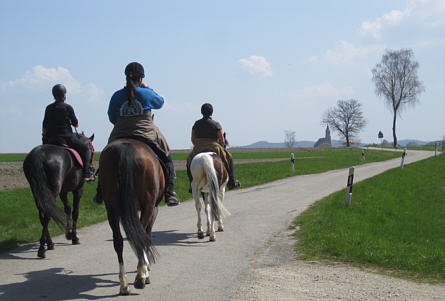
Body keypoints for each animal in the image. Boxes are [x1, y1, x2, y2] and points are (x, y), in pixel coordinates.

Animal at [98, 139, 164, 294]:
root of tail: (125, 147)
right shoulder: (153, 209)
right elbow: (146, 235)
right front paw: (146, 269)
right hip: (148, 206)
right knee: (141, 238)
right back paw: (141, 277)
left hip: (112, 209)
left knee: (118, 241)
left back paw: (124, 284)